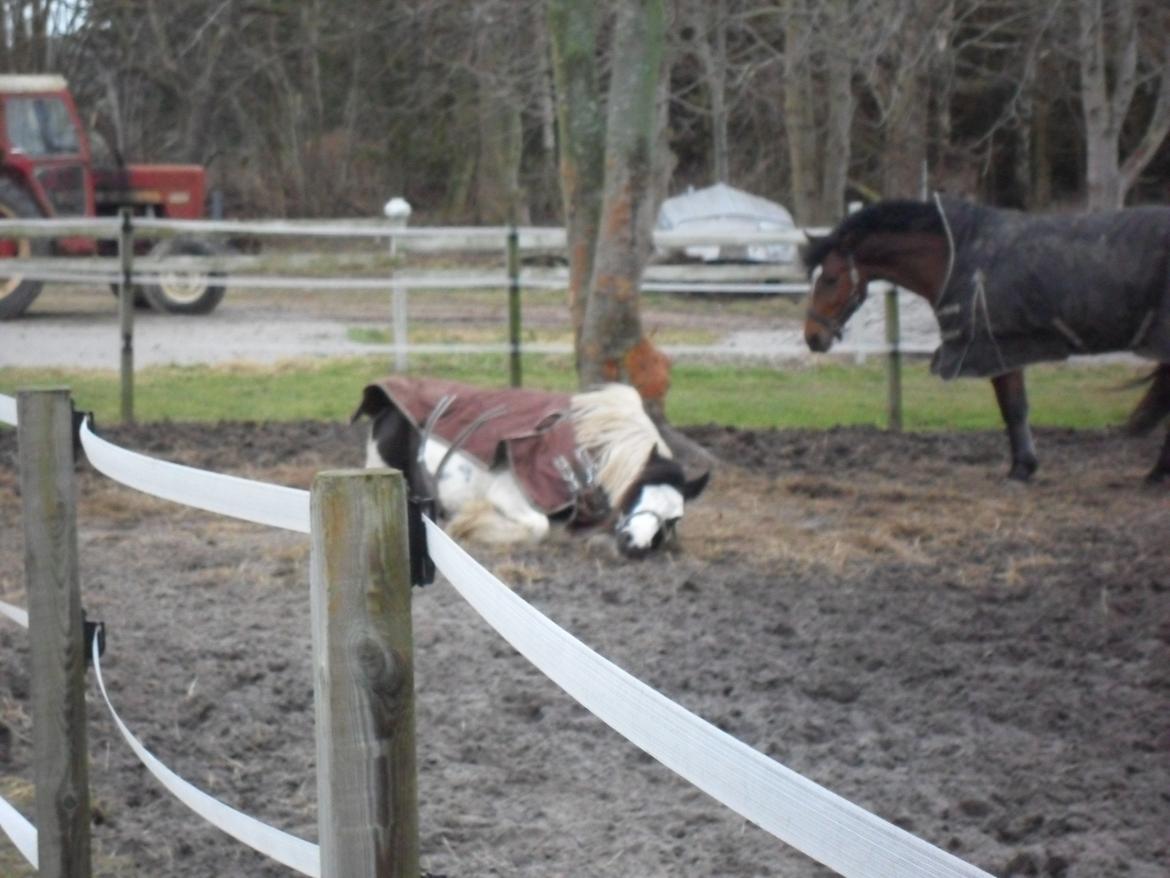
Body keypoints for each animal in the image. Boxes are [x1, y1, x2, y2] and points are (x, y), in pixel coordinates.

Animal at [351, 376, 706, 557]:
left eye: (674, 517)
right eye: (636, 493)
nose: (636, 546)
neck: (582, 451)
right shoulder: (511, 495)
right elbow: (539, 527)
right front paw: (470, 526)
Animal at [800, 197, 1170, 482]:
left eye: (830, 279)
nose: (812, 336)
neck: (957, 259)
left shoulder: (995, 348)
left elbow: (1013, 408)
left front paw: (1021, 469)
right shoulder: (1005, 350)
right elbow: (1016, 406)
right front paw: (1025, 466)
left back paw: (1156, 474)